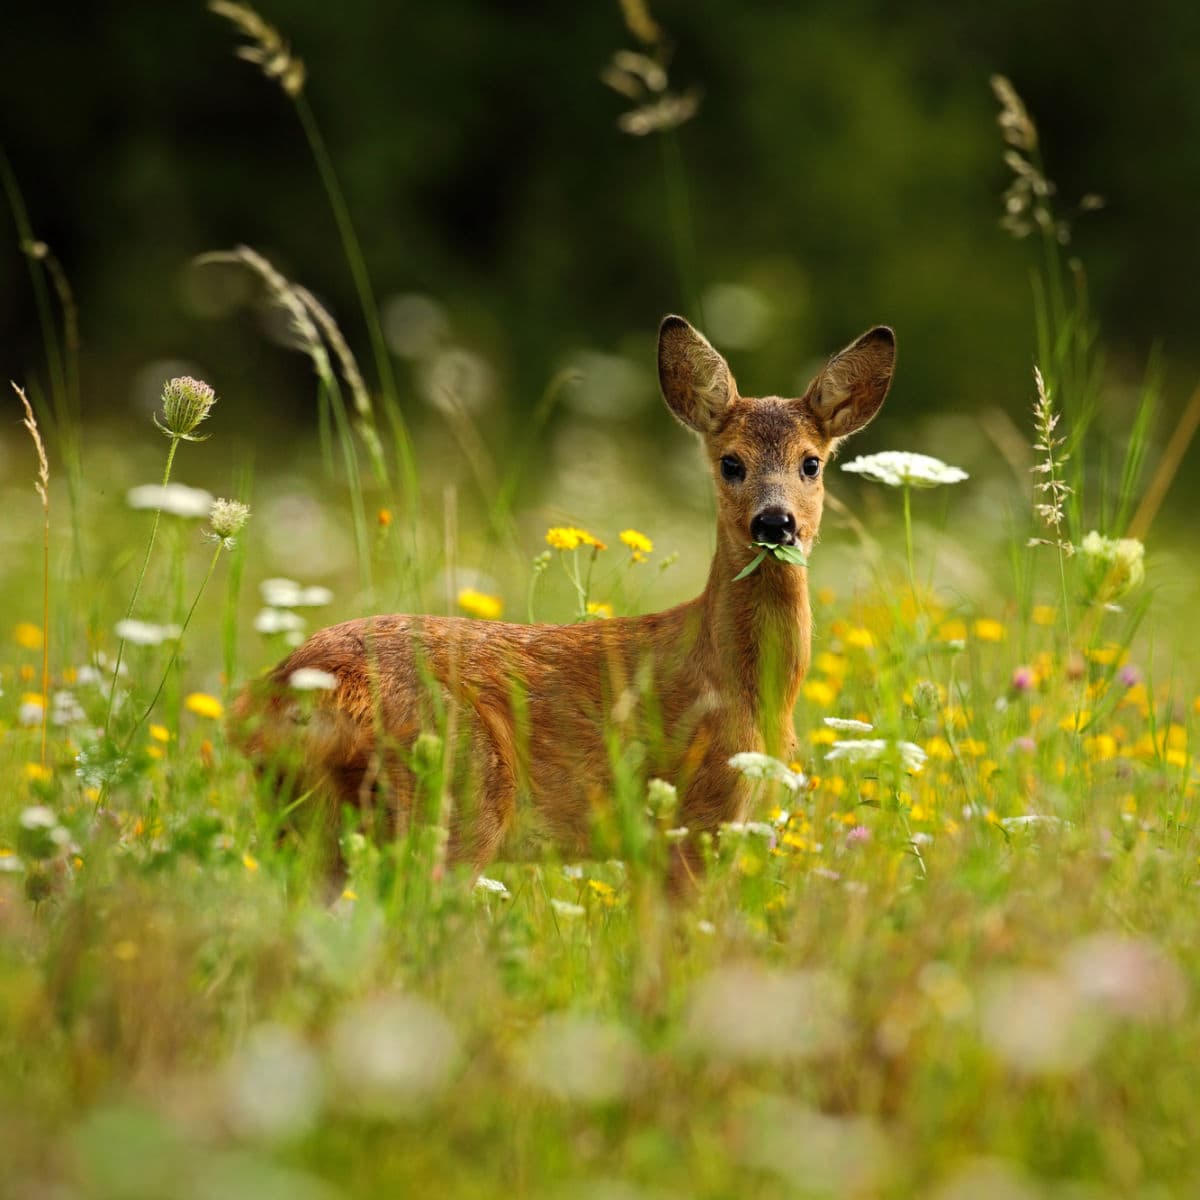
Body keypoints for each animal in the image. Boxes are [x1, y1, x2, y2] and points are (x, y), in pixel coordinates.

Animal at [229, 316, 897, 892]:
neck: (746, 688)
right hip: (453, 793)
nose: (775, 522)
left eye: (811, 463)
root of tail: (284, 692)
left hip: (307, 818)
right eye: (731, 462)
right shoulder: (696, 812)